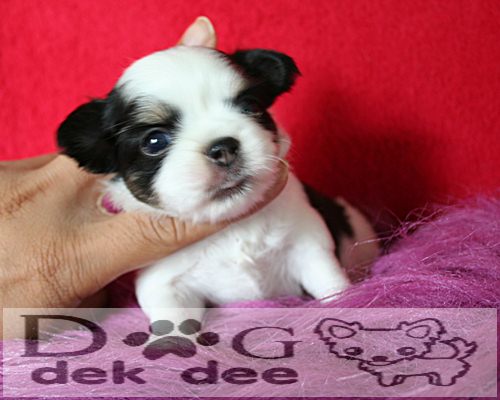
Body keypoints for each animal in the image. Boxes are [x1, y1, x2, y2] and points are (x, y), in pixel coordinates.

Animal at [57, 45, 378, 325]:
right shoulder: (164, 282)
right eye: (155, 141)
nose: (223, 147)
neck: (231, 224)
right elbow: (173, 320)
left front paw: (345, 303)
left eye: (250, 106)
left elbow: (329, 282)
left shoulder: (308, 243)